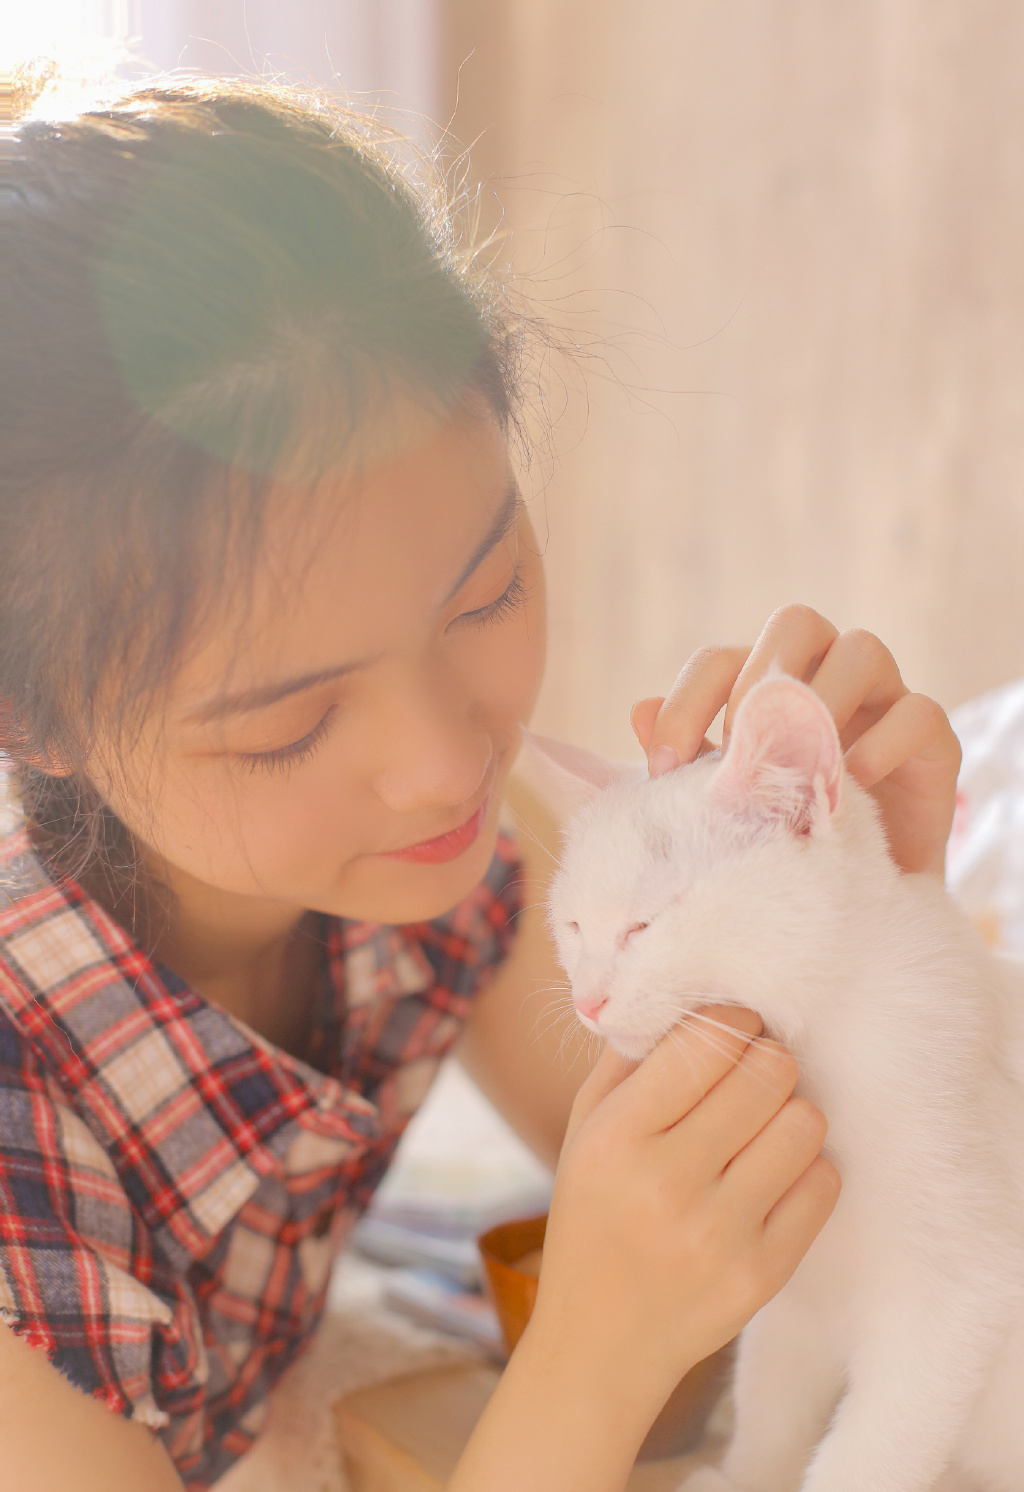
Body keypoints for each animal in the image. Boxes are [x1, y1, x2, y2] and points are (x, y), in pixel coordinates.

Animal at [537, 680, 1024, 1492]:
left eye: (643, 926)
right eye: (573, 925)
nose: (588, 1001)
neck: (825, 1043)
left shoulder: (955, 1298)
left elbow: (873, 1451)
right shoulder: (794, 1304)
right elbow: (771, 1402)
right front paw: (741, 1477)